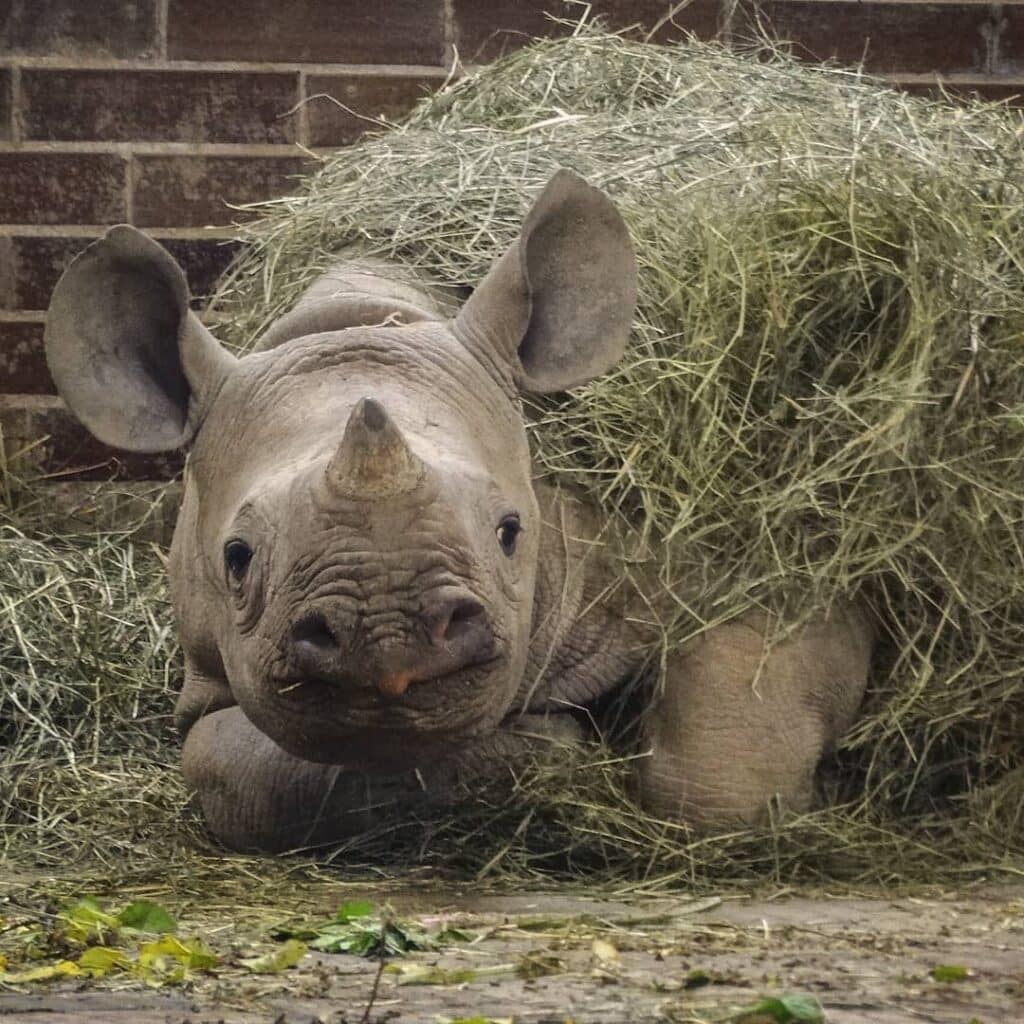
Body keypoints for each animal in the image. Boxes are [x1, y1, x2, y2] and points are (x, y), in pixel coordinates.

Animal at [41, 172, 872, 851]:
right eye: (236, 557)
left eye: (511, 533)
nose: (390, 641)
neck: (368, 321)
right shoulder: (208, 670)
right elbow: (239, 770)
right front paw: (545, 749)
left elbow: (721, 769)